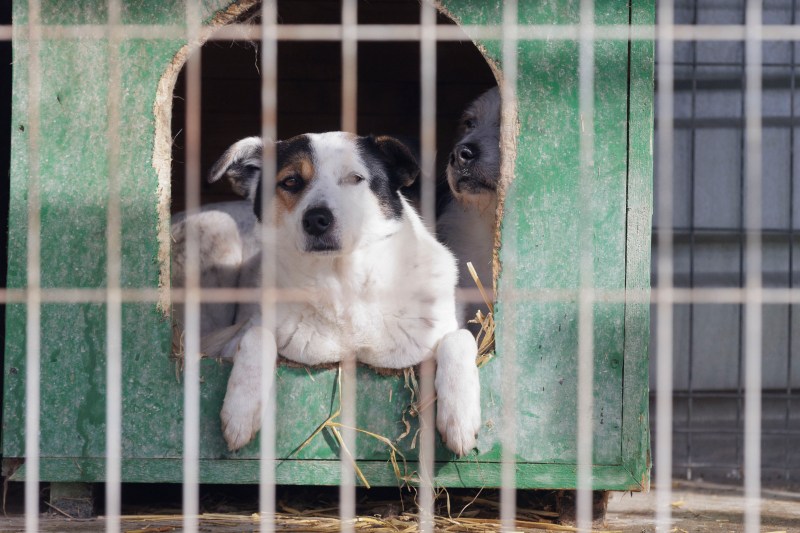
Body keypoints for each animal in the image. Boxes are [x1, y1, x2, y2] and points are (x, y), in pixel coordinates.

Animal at [171, 132, 478, 454]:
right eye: (291, 181)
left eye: (355, 178)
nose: (317, 219)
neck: (343, 285)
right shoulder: (231, 340)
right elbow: (256, 335)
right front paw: (241, 411)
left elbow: (459, 338)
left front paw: (459, 419)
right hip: (217, 227)